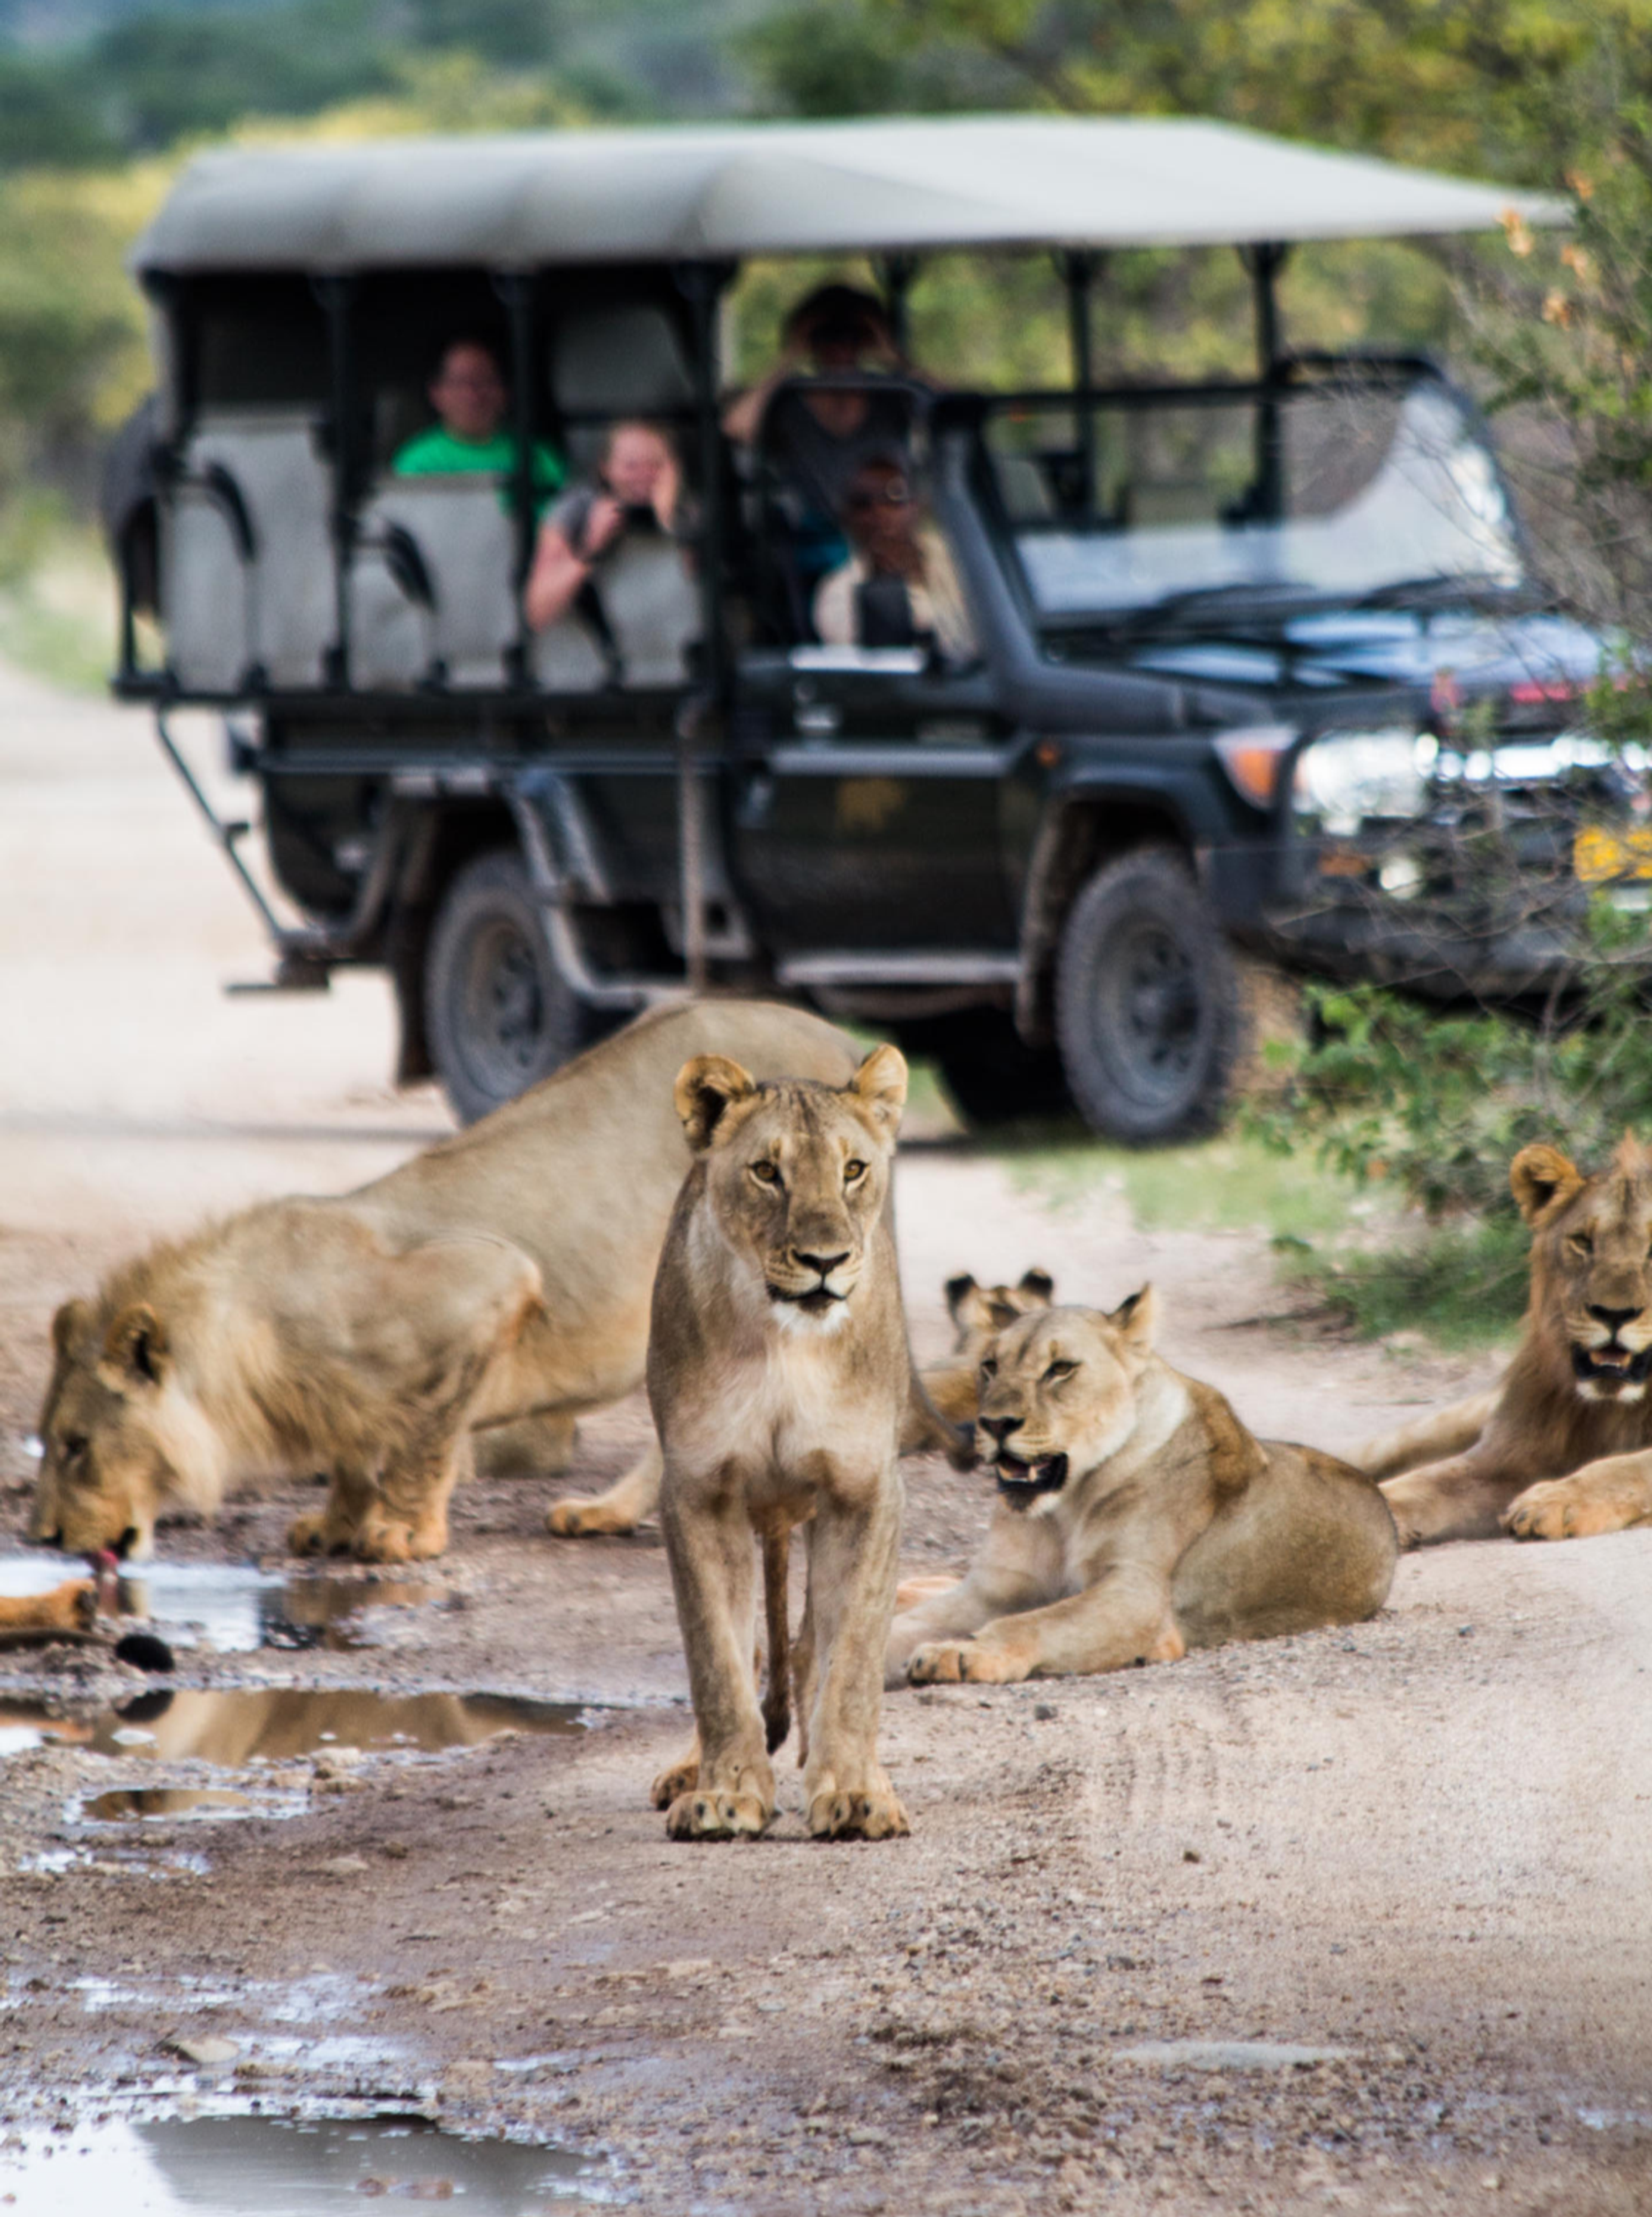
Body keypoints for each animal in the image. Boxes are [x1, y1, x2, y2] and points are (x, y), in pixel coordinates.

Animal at [891, 1286, 1392, 1676]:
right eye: (990, 1366)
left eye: (1061, 1369)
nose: (995, 1424)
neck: (1066, 1508)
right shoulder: (992, 1588)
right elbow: (904, 1625)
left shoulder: (1138, 1594)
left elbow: (1033, 1622)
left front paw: (961, 1653)